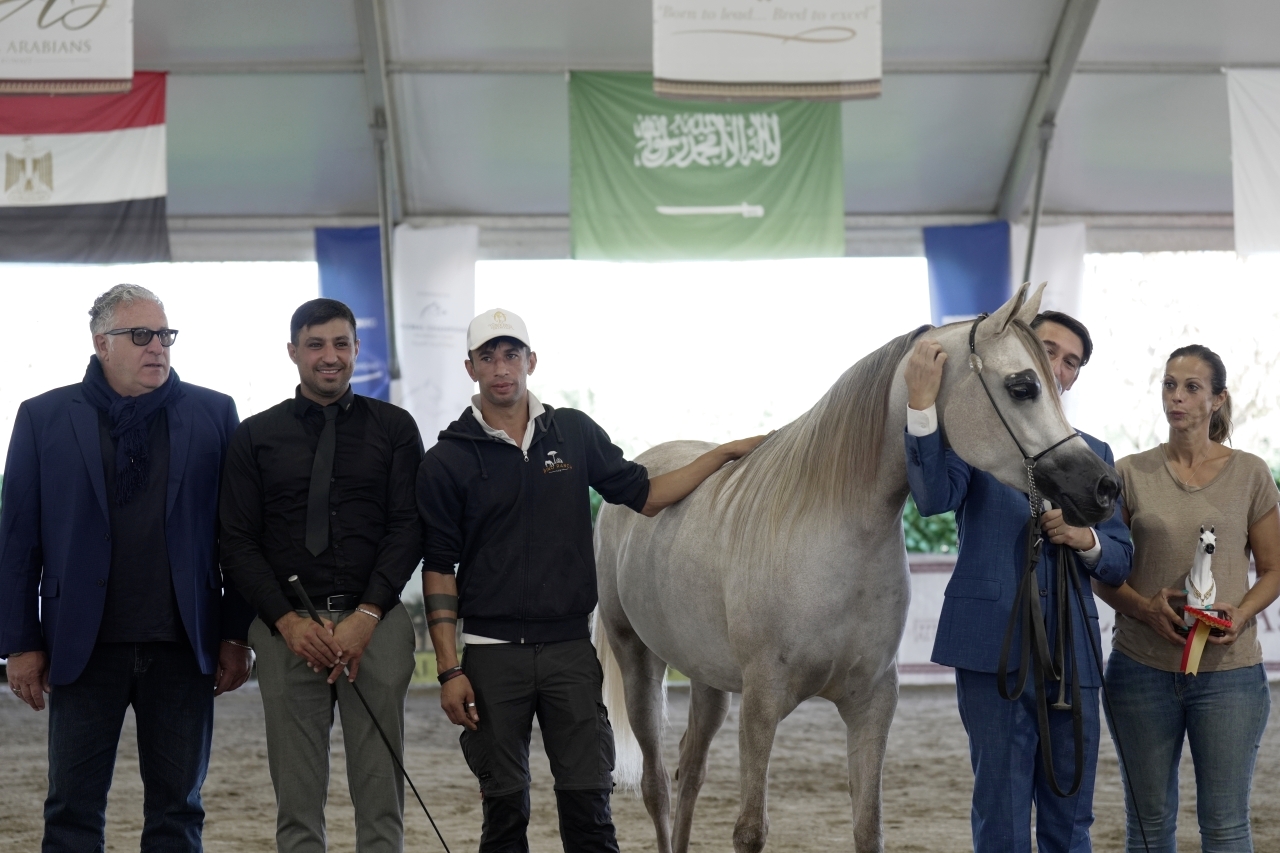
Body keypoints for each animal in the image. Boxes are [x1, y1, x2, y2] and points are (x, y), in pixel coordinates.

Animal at [593, 284, 1116, 850]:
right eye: (1023, 387)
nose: (1103, 487)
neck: (835, 538)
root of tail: (645, 473)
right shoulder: (761, 703)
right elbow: (750, 829)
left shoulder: (872, 703)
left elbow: (869, 826)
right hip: (637, 659)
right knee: (657, 785)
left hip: (708, 677)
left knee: (690, 769)